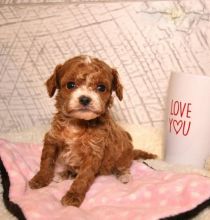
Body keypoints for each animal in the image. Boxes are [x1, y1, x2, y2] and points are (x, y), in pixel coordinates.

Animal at [28, 54, 157, 206]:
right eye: (70, 85)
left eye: (101, 87)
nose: (85, 99)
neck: (78, 123)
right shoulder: (52, 139)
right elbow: (46, 162)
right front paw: (40, 179)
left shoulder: (93, 152)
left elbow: (83, 177)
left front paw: (74, 195)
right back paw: (63, 174)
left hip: (123, 155)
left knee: (122, 167)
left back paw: (124, 175)